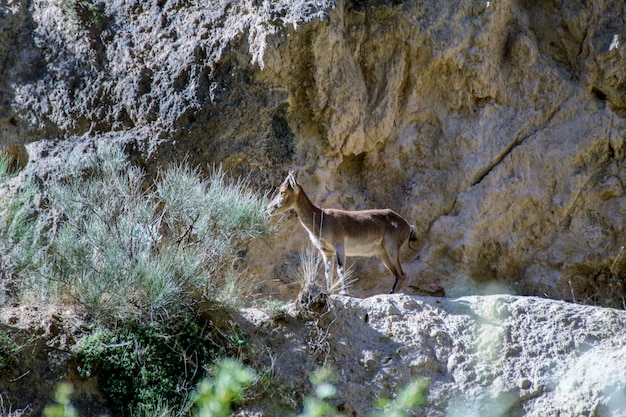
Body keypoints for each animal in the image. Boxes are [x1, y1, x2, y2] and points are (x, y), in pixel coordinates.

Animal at [264, 171, 414, 294]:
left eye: (283, 192)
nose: (269, 208)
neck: (321, 218)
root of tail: (407, 225)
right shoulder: (326, 252)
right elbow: (328, 273)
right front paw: (329, 292)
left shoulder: (339, 246)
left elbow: (340, 269)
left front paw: (344, 293)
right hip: (382, 253)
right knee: (397, 274)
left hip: (392, 248)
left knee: (402, 274)